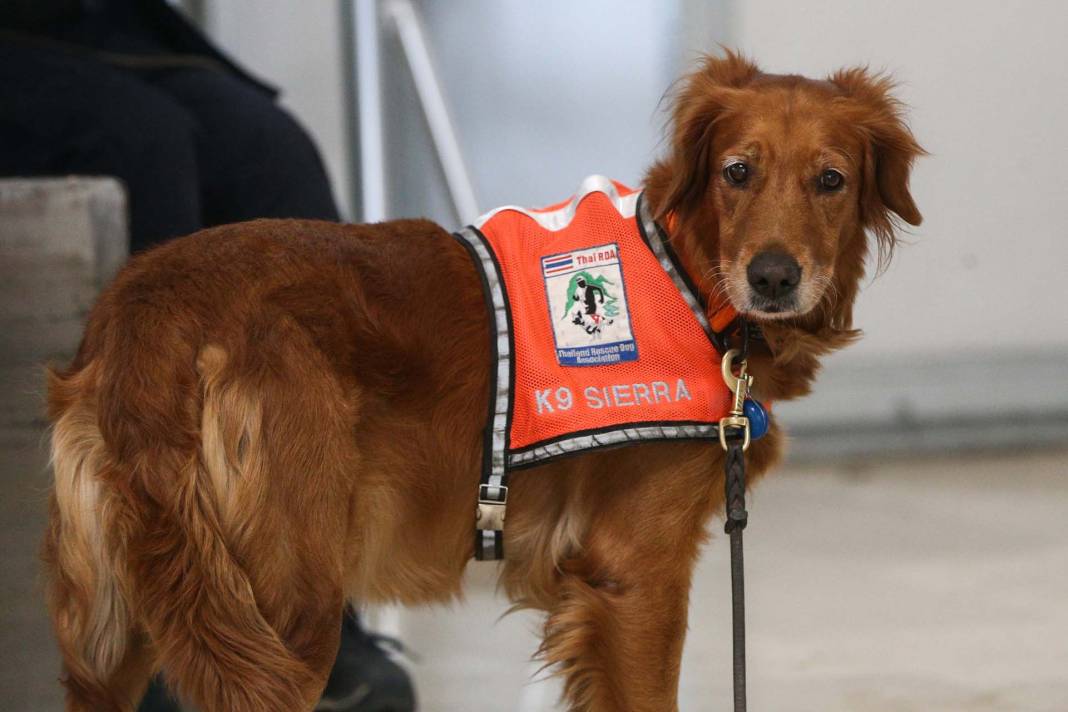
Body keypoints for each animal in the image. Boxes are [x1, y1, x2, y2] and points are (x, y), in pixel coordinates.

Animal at [45, 54, 922, 712]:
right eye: (738, 172)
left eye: (831, 181)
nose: (774, 278)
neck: (687, 271)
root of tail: (146, 309)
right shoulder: (635, 573)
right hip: (285, 614)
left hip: (113, 638)